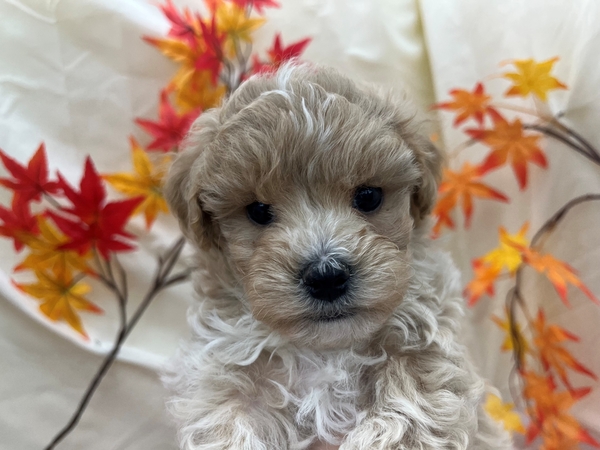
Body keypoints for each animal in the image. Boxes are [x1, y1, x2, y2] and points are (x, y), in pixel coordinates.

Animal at [163, 63, 512, 450]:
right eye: (258, 211)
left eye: (369, 197)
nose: (326, 276)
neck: (326, 349)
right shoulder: (227, 375)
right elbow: (227, 425)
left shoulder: (425, 347)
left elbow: (412, 405)